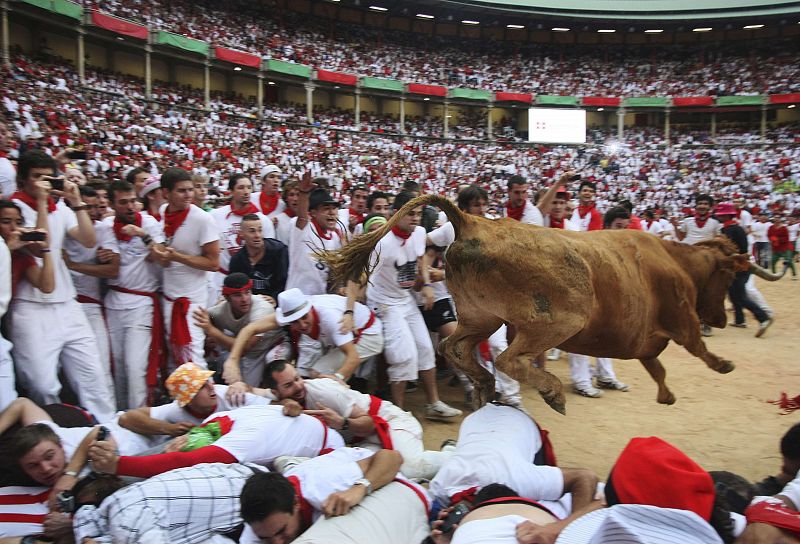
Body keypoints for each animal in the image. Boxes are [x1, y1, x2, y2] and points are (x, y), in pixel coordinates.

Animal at [324, 194, 780, 412]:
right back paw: (549, 391)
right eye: (727, 275)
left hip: (481, 317)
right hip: (557, 321)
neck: (675, 258)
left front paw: (665, 394)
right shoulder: (680, 314)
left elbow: (658, 366)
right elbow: (694, 344)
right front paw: (723, 363)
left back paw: (485, 386)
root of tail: (471, 221)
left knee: (455, 348)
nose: (721, 318)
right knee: (508, 358)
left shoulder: (646, 342)